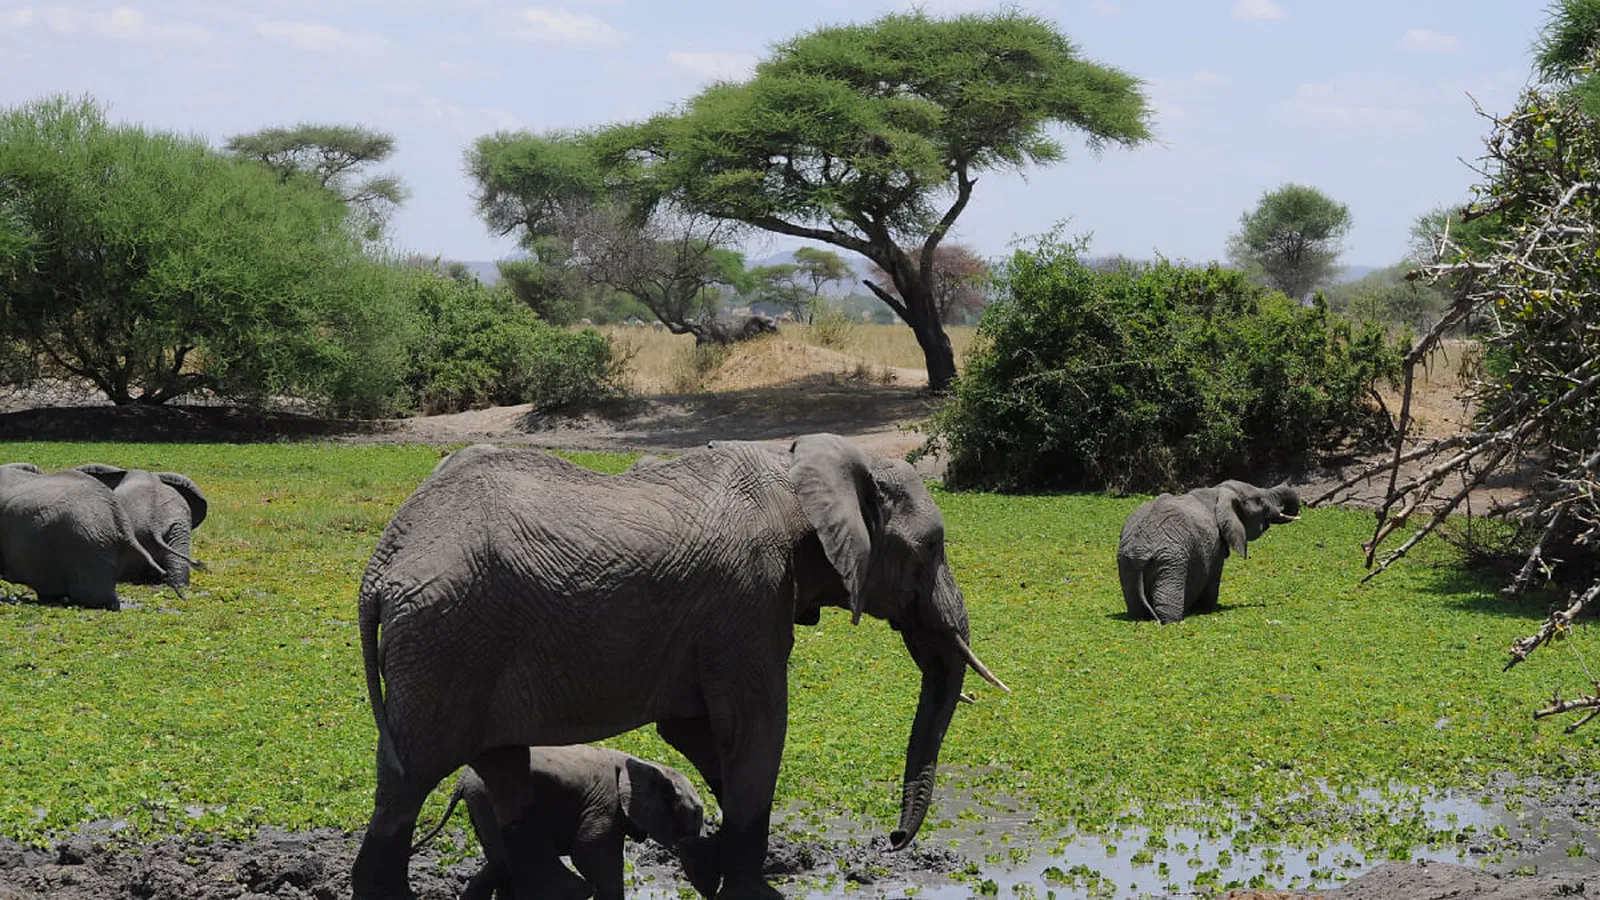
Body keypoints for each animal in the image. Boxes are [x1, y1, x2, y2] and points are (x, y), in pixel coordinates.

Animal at [413, 745, 712, 900]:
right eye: (696, 812)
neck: (649, 765)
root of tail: (462, 778)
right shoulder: (606, 803)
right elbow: (588, 852)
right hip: (489, 796)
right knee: (506, 860)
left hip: (481, 801)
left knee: (499, 864)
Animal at [1117, 480, 1301, 625]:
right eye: (1261, 502)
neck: (1219, 491)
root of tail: (1139, 552)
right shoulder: (1216, 544)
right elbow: (1214, 575)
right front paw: (1208, 609)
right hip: (1170, 561)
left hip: (1125, 562)